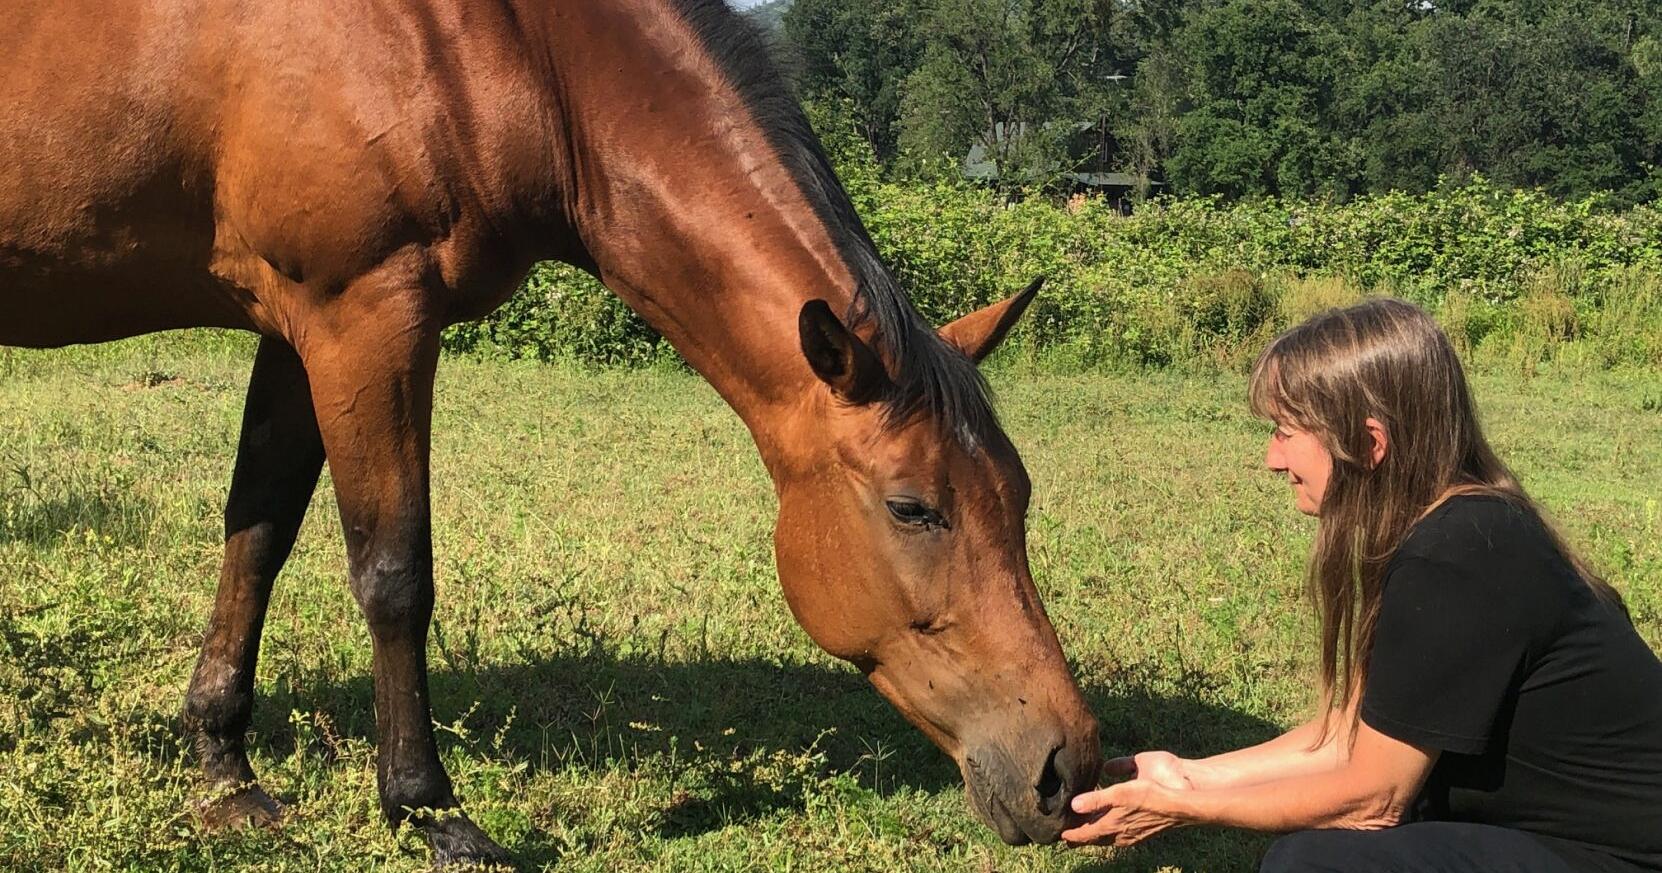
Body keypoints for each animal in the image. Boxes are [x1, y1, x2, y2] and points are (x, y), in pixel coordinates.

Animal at [0, 0, 1101, 864]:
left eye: (1020, 494)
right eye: (913, 508)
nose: (1069, 767)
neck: (489, 43)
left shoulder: (296, 329)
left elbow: (257, 538)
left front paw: (226, 773)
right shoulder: (366, 318)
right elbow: (394, 572)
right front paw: (431, 812)